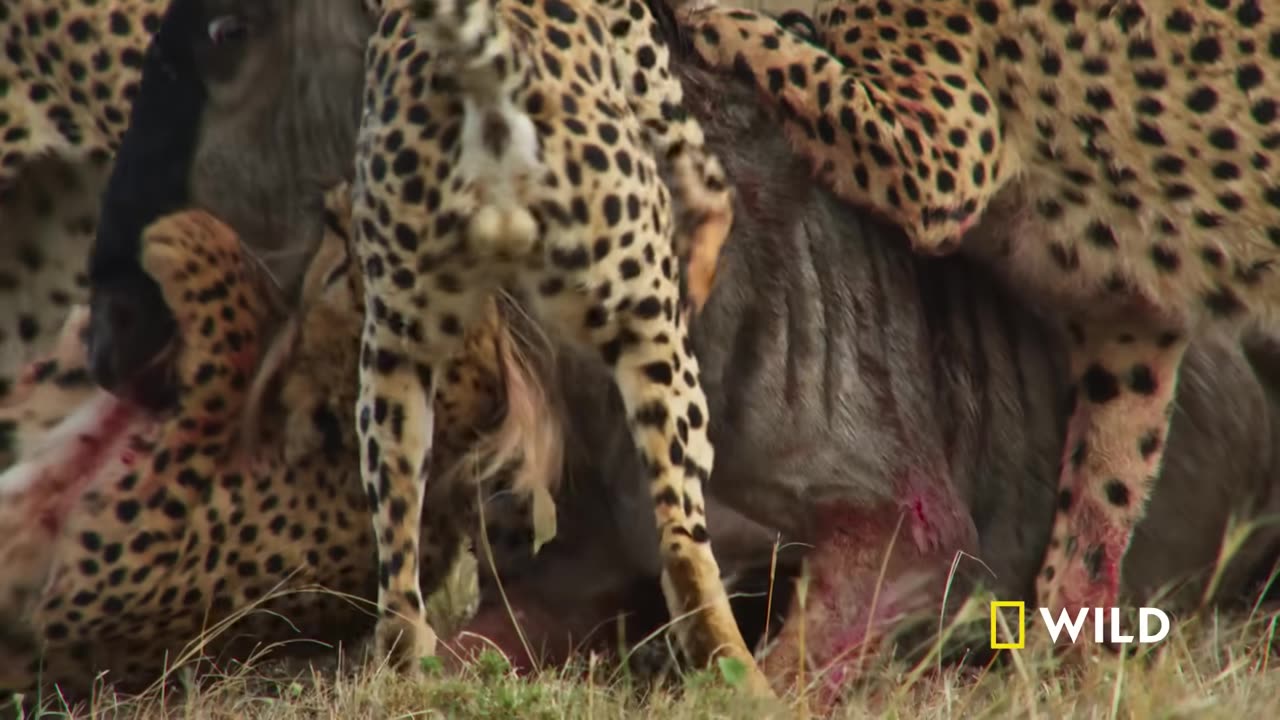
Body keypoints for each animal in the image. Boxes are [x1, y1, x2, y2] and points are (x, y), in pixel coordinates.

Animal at [83, 0, 769, 693]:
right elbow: (691, 152)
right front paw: (707, 238)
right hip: (641, 337)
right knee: (682, 540)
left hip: (397, 371)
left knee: (403, 567)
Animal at [675, 0, 1280, 636]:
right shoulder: (1129, 320)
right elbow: (1099, 502)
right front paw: (1057, 650)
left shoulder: (940, 159)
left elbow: (798, 64)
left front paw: (711, 15)